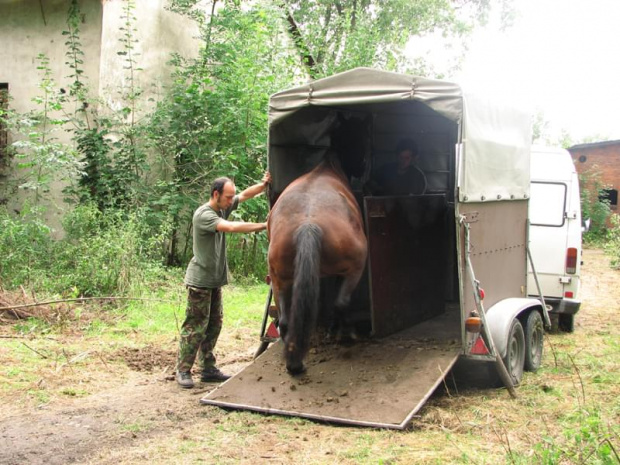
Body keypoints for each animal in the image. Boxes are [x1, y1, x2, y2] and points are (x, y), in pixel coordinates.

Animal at [266, 114, 368, 376]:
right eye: (360, 133)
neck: (328, 165)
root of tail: (308, 225)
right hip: (355, 268)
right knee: (341, 302)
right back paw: (346, 335)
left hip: (280, 279)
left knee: (284, 320)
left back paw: (293, 361)